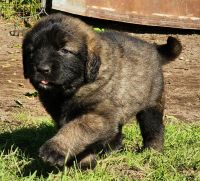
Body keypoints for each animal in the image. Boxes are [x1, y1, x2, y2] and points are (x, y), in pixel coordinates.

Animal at [21, 13, 181, 169]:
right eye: (32, 51)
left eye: (64, 50)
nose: (42, 68)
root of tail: (153, 48)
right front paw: (85, 162)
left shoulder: (98, 115)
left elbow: (75, 129)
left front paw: (55, 149)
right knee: (117, 131)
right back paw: (112, 149)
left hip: (151, 104)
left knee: (154, 128)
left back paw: (152, 151)